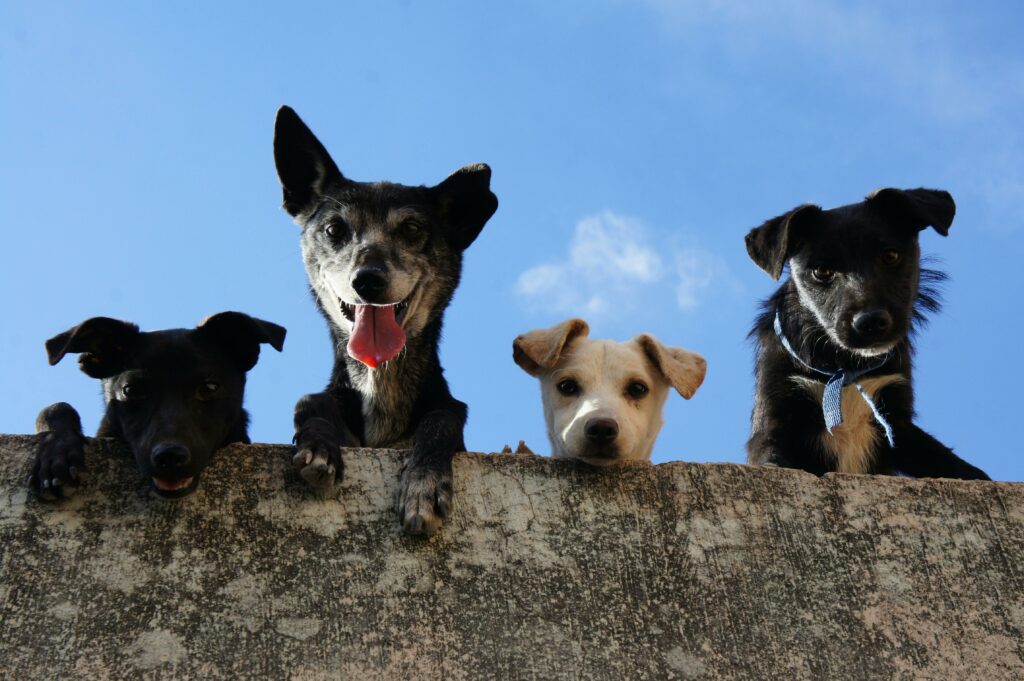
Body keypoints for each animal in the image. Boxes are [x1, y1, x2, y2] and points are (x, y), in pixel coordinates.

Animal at [272, 104, 495, 536]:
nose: (368, 280)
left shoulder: (447, 415)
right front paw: (319, 446)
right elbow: (309, 400)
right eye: (334, 229)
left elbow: (442, 418)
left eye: (411, 229)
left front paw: (423, 485)